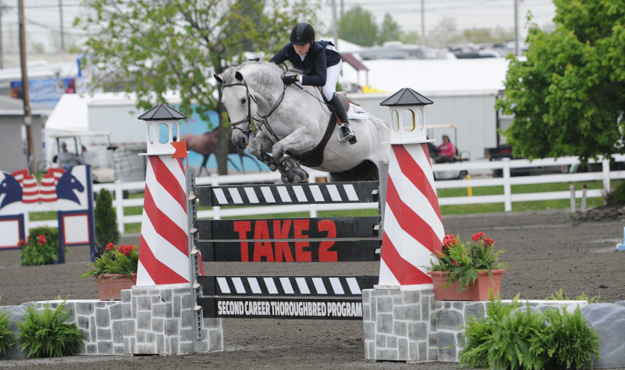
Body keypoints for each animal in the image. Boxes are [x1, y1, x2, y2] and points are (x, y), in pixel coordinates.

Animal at [216, 61, 390, 183]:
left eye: (243, 100)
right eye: (223, 102)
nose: (238, 140)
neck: (277, 102)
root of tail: (389, 130)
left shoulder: (308, 138)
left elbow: (278, 149)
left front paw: (292, 172)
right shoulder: (268, 139)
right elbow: (255, 147)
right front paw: (280, 165)